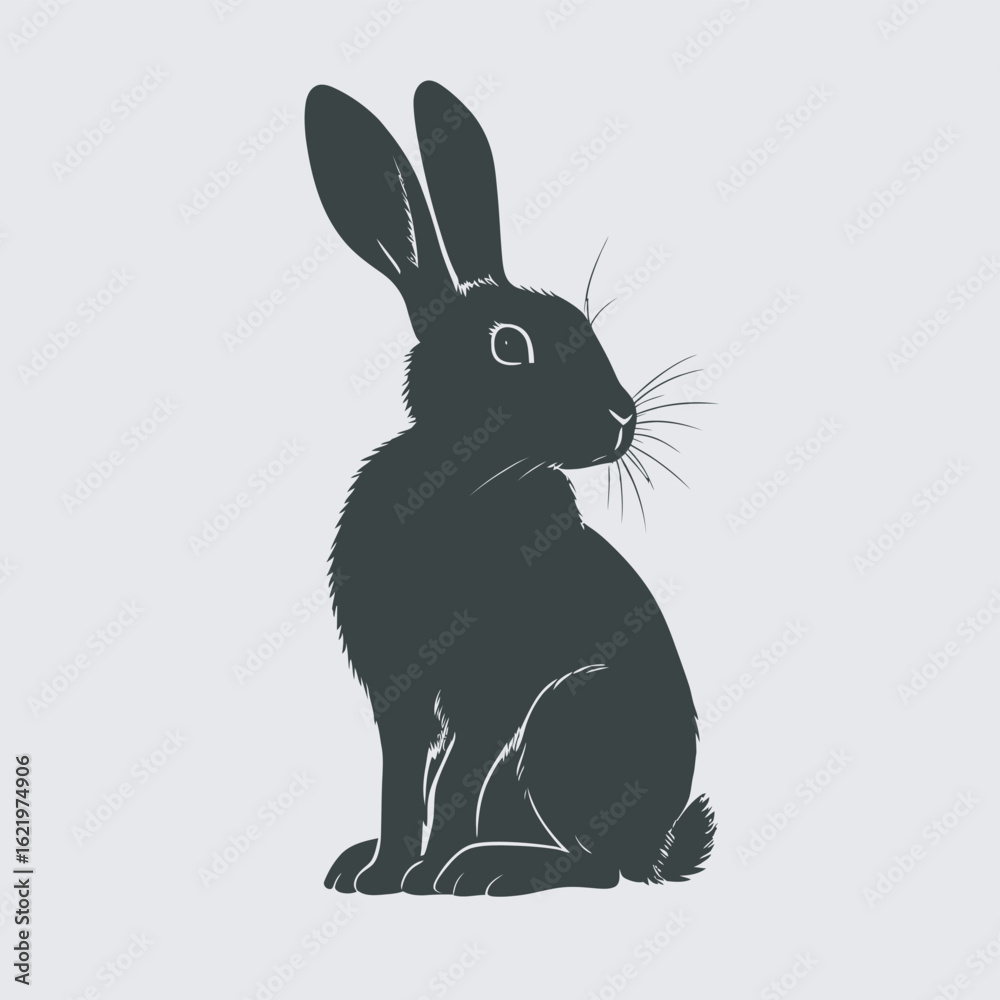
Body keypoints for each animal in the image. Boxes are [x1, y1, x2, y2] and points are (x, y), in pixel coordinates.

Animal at [305, 81, 714, 895]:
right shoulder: (400, 698)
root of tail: (659, 845)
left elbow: (454, 777)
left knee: (597, 867)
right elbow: (401, 783)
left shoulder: (492, 690)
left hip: (570, 718)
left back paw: (485, 870)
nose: (622, 418)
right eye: (509, 346)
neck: (463, 481)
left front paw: (424, 875)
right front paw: (382, 872)